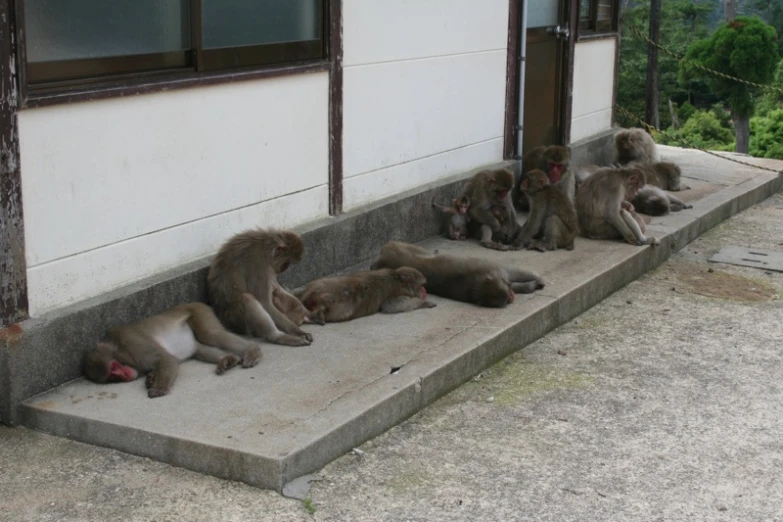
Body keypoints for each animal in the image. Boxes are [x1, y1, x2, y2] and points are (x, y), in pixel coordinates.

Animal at [84, 300, 264, 398]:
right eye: (111, 376)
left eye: (114, 367)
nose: (124, 375)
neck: (120, 349)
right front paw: (150, 379)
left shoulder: (133, 344)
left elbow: (166, 359)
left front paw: (159, 386)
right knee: (200, 348)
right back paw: (229, 359)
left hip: (198, 311)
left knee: (211, 334)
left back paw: (252, 350)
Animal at [292, 266, 434, 322]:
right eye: (421, 286)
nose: (425, 291)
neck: (397, 279)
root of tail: (310, 295)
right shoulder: (394, 292)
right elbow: (391, 305)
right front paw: (424, 303)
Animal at [370, 241, 544, 306]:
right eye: (505, 298)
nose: (511, 297)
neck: (476, 283)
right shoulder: (493, 269)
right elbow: (512, 272)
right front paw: (536, 281)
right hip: (401, 247)